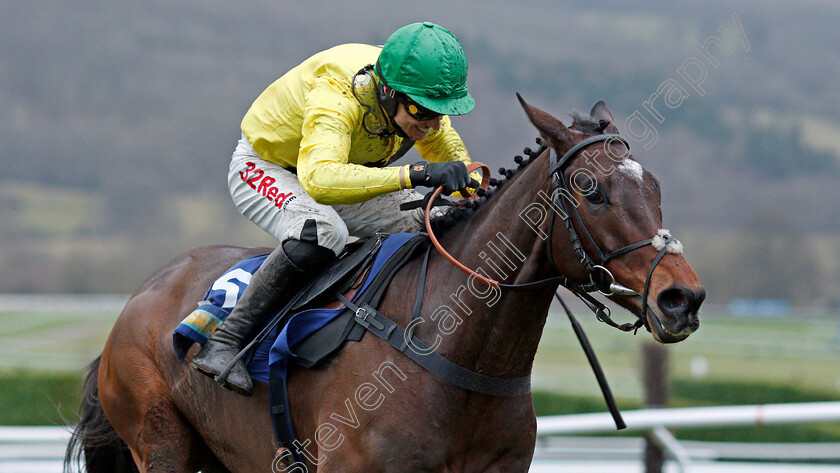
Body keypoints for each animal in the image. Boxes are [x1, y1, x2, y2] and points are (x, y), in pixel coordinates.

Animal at [65, 97, 704, 472]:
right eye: (593, 191)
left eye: (655, 187)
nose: (682, 298)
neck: (460, 355)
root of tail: (140, 297)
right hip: (160, 442)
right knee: (313, 233)